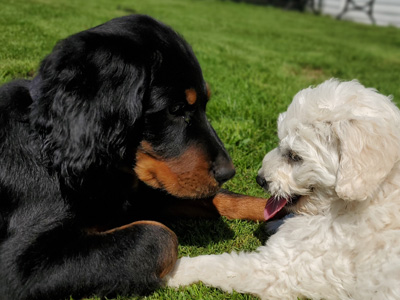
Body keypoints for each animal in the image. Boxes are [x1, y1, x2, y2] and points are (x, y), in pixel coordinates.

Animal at [167, 79, 400, 300]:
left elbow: (221, 265)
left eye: (294, 156)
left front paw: (175, 271)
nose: (260, 179)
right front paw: (277, 222)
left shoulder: (282, 267)